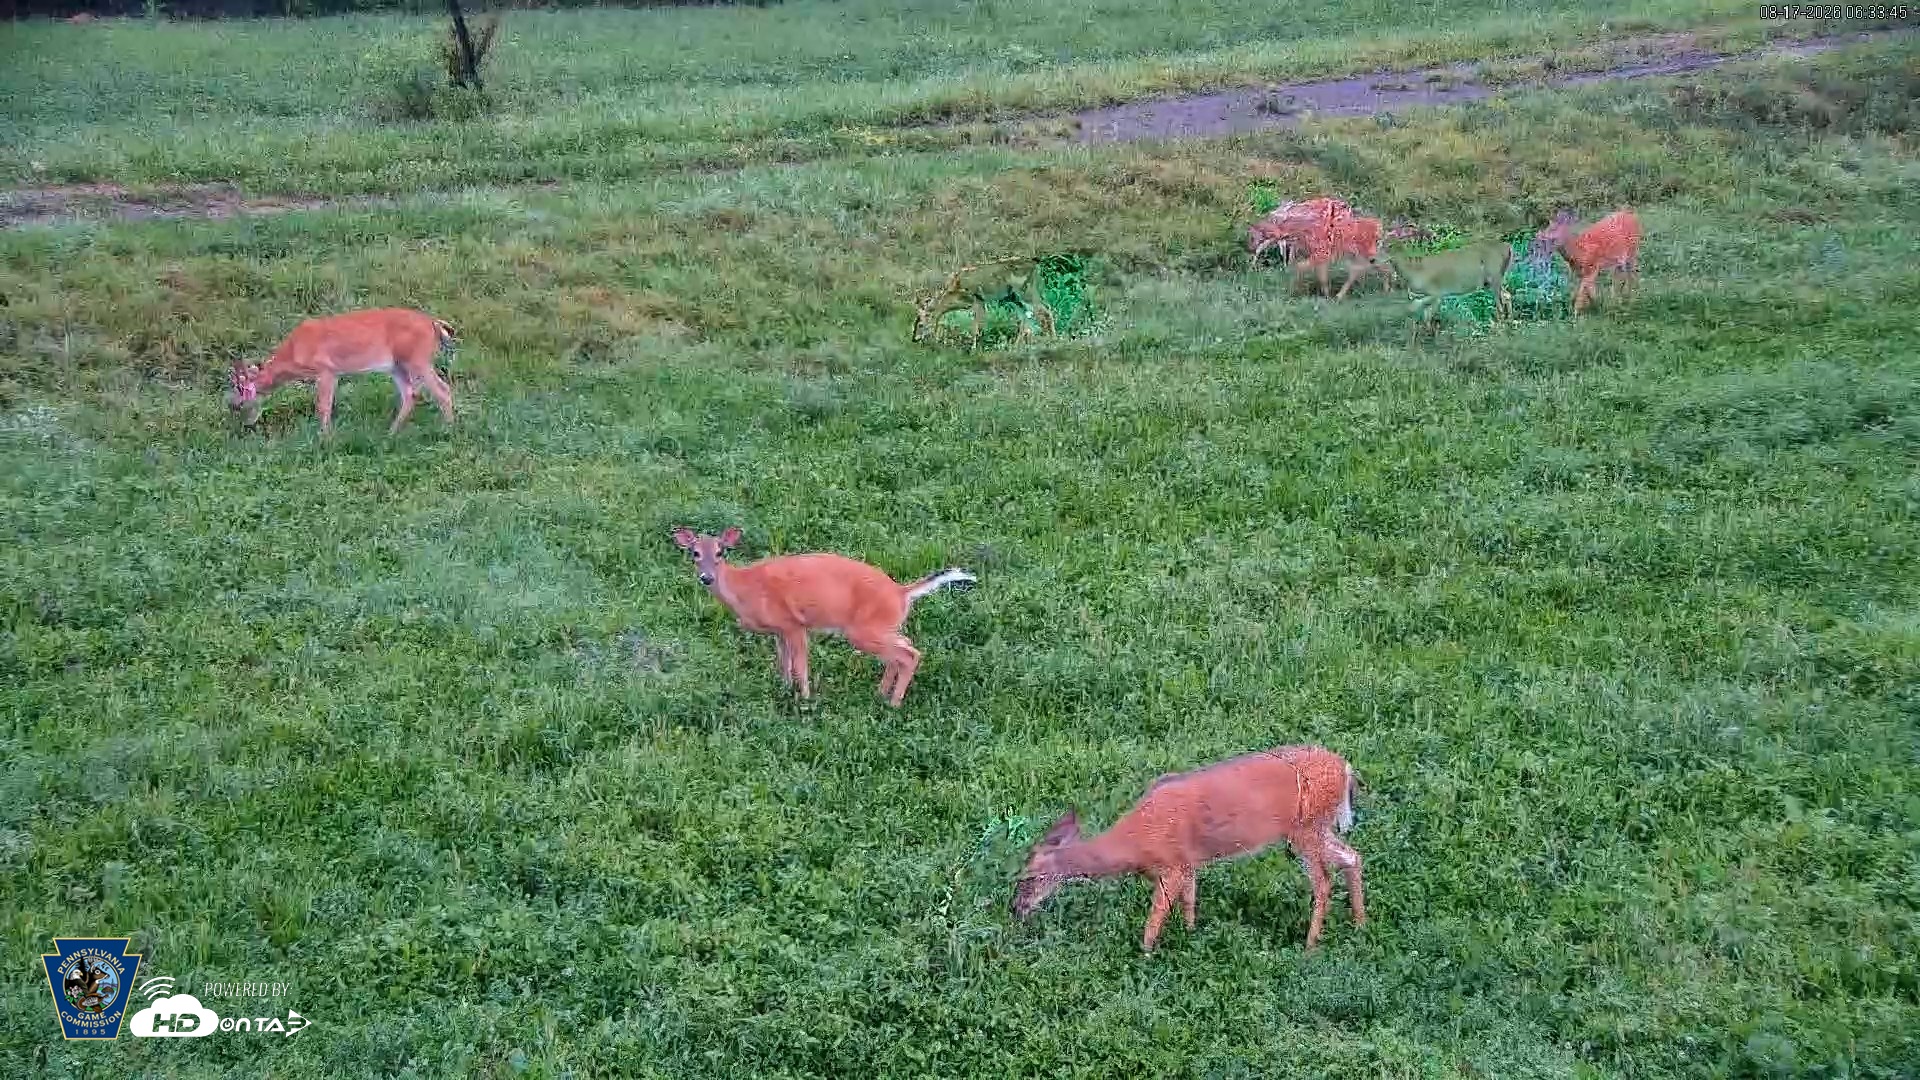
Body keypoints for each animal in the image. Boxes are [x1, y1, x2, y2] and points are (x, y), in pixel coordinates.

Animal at [226, 308, 456, 436]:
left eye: (239, 387)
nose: (232, 405)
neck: (294, 351)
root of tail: (434, 324)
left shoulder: (326, 369)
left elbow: (323, 406)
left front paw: (325, 437)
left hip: (418, 359)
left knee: (442, 390)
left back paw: (447, 429)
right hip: (397, 366)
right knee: (410, 394)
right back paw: (391, 433)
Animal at [671, 527, 976, 708]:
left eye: (720, 552)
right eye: (694, 553)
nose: (706, 577)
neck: (744, 588)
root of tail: (902, 593)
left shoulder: (794, 623)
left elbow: (799, 666)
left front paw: (805, 700)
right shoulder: (779, 630)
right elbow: (783, 662)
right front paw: (783, 689)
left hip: (864, 630)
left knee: (909, 654)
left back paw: (893, 704)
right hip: (882, 627)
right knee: (902, 650)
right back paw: (881, 694)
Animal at [1012, 743, 1365, 953]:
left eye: (1028, 878)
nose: (1016, 909)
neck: (1134, 844)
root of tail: (1346, 769)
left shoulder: (1171, 864)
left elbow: (1155, 918)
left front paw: (1145, 955)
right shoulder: (1187, 864)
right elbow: (1190, 903)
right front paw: (1192, 935)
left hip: (1306, 829)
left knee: (1324, 881)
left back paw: (1310, 945)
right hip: (1315, 829)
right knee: (1352, 856)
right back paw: (1360, 925)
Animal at [1385, 240, 1515, 338]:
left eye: (1387, 247)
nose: (1375, 260)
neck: (1414, 272)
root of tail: (1508, 247)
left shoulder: (1436, 293)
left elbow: (1422, 313)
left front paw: (1431, 335)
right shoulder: (1425, 296)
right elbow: (1421, 312)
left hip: (1495, 276)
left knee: (1500, 303)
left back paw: (1500, 327)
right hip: (1492, 281)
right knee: (1507, 295)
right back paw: (1510, 322)